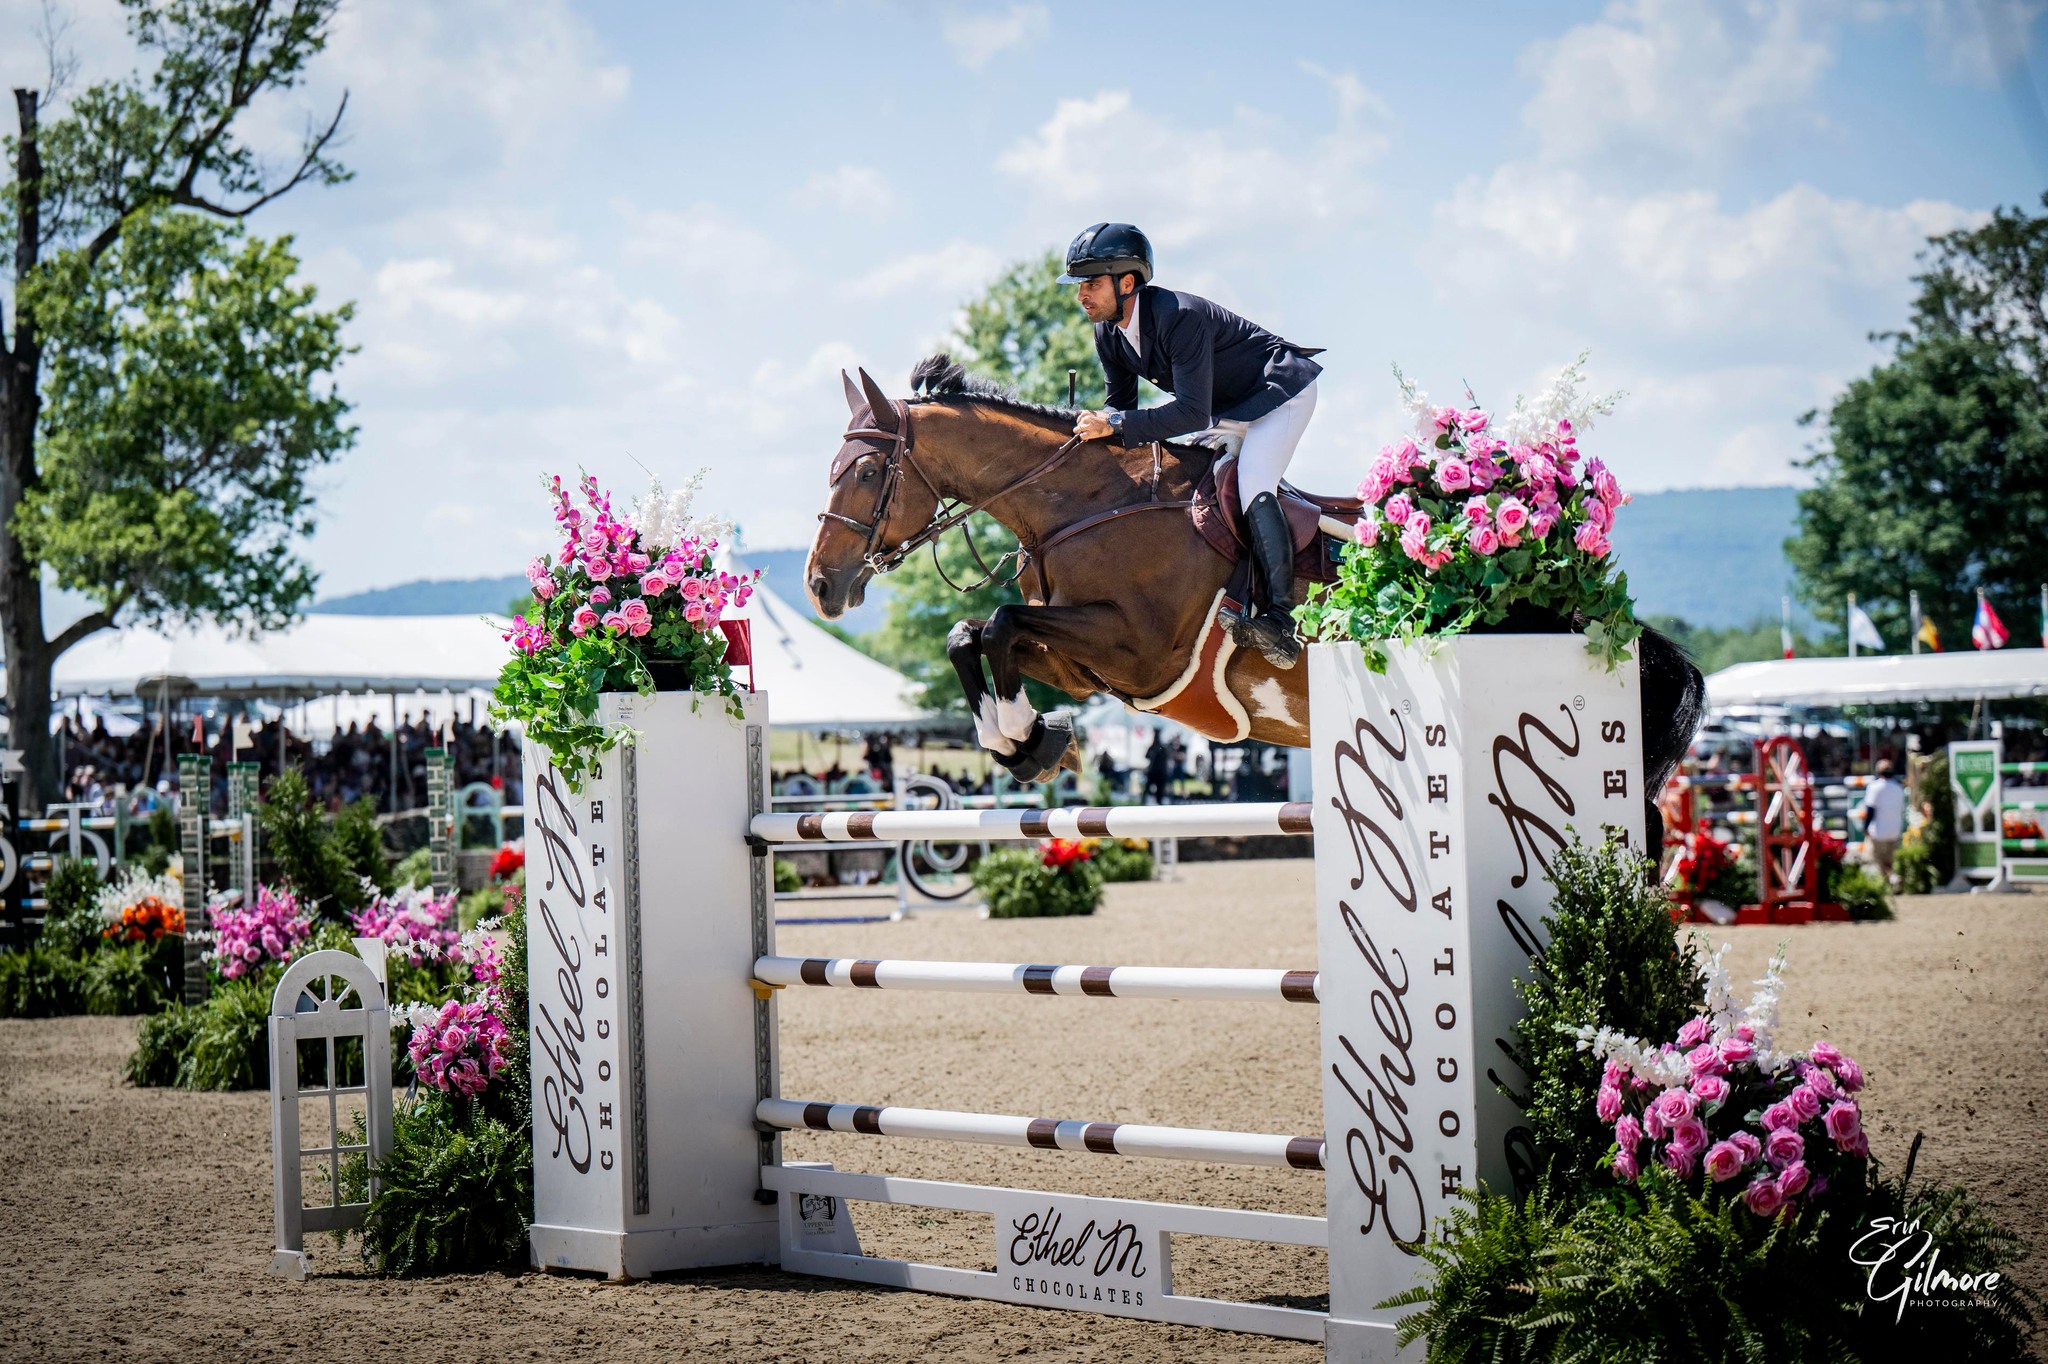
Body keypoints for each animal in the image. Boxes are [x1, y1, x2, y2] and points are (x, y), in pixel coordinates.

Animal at [804, 356, 1704, 849]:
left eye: (865, 472)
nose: (821, 585)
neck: (1081, 504)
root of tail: (1623, 637)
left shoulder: (1139, 651)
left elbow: (996, 621)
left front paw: (1022, 738)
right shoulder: (1092, 666)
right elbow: (974, 634)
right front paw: (1027, 740)